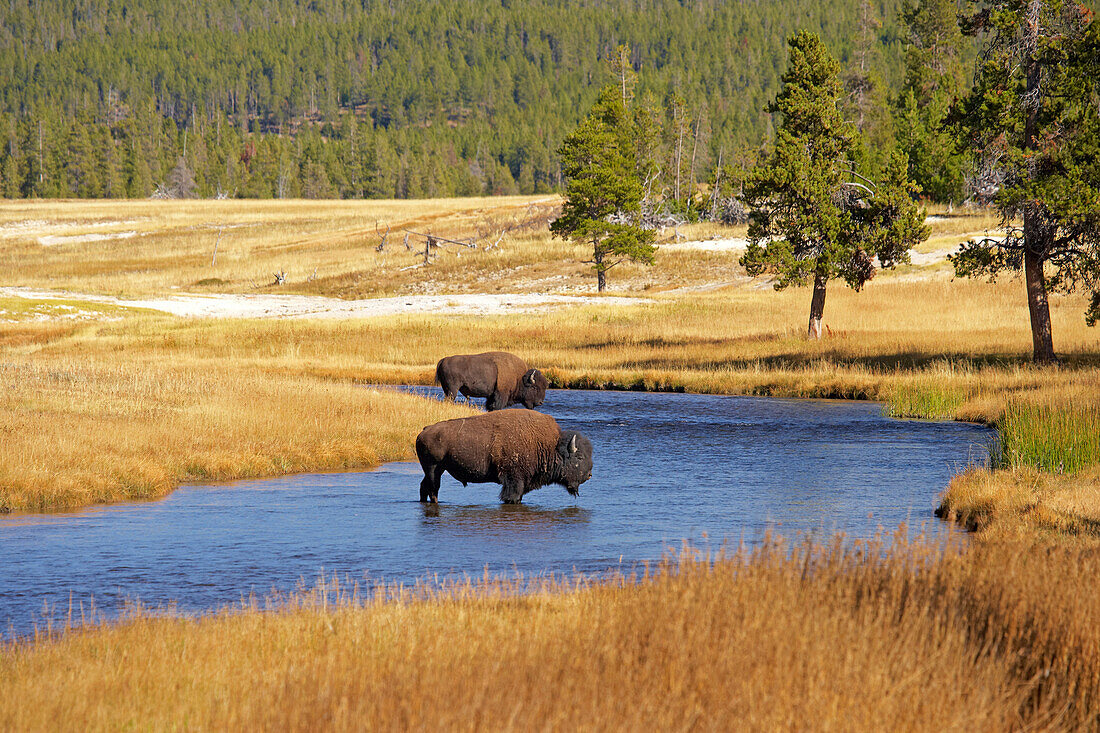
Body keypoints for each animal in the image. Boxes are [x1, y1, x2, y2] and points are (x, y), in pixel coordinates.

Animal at [415, 407, 598, 506]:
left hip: (435, 470)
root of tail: (425, 430)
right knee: (433, 489)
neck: (549, 446)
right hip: (434, 468)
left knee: (424, 487)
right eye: (579, 457)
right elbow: (512, 497)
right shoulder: (513, 481)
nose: (589, 475)